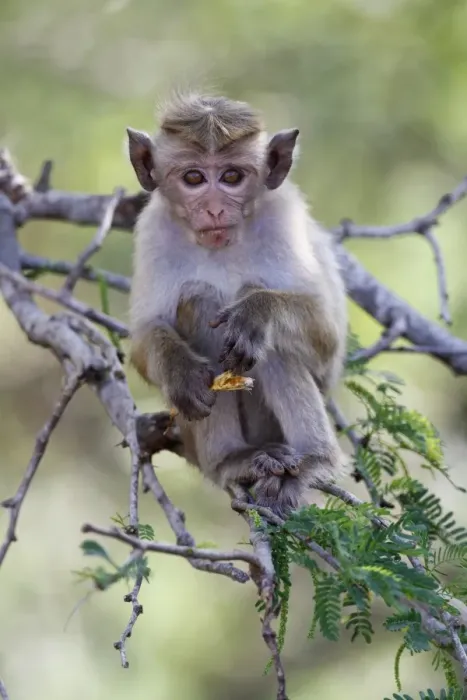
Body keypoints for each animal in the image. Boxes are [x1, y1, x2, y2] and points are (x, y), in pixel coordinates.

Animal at [127, 92, 347, 517]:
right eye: (194, 178)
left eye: (231, 177)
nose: (214, 208)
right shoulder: (153, 230)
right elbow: (145, 336)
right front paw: (179, 371)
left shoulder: (282, 219)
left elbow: (325, 335)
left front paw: (256, 313)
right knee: (197, 301)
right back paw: (232, 459)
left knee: (269, 339)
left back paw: (311, 461)